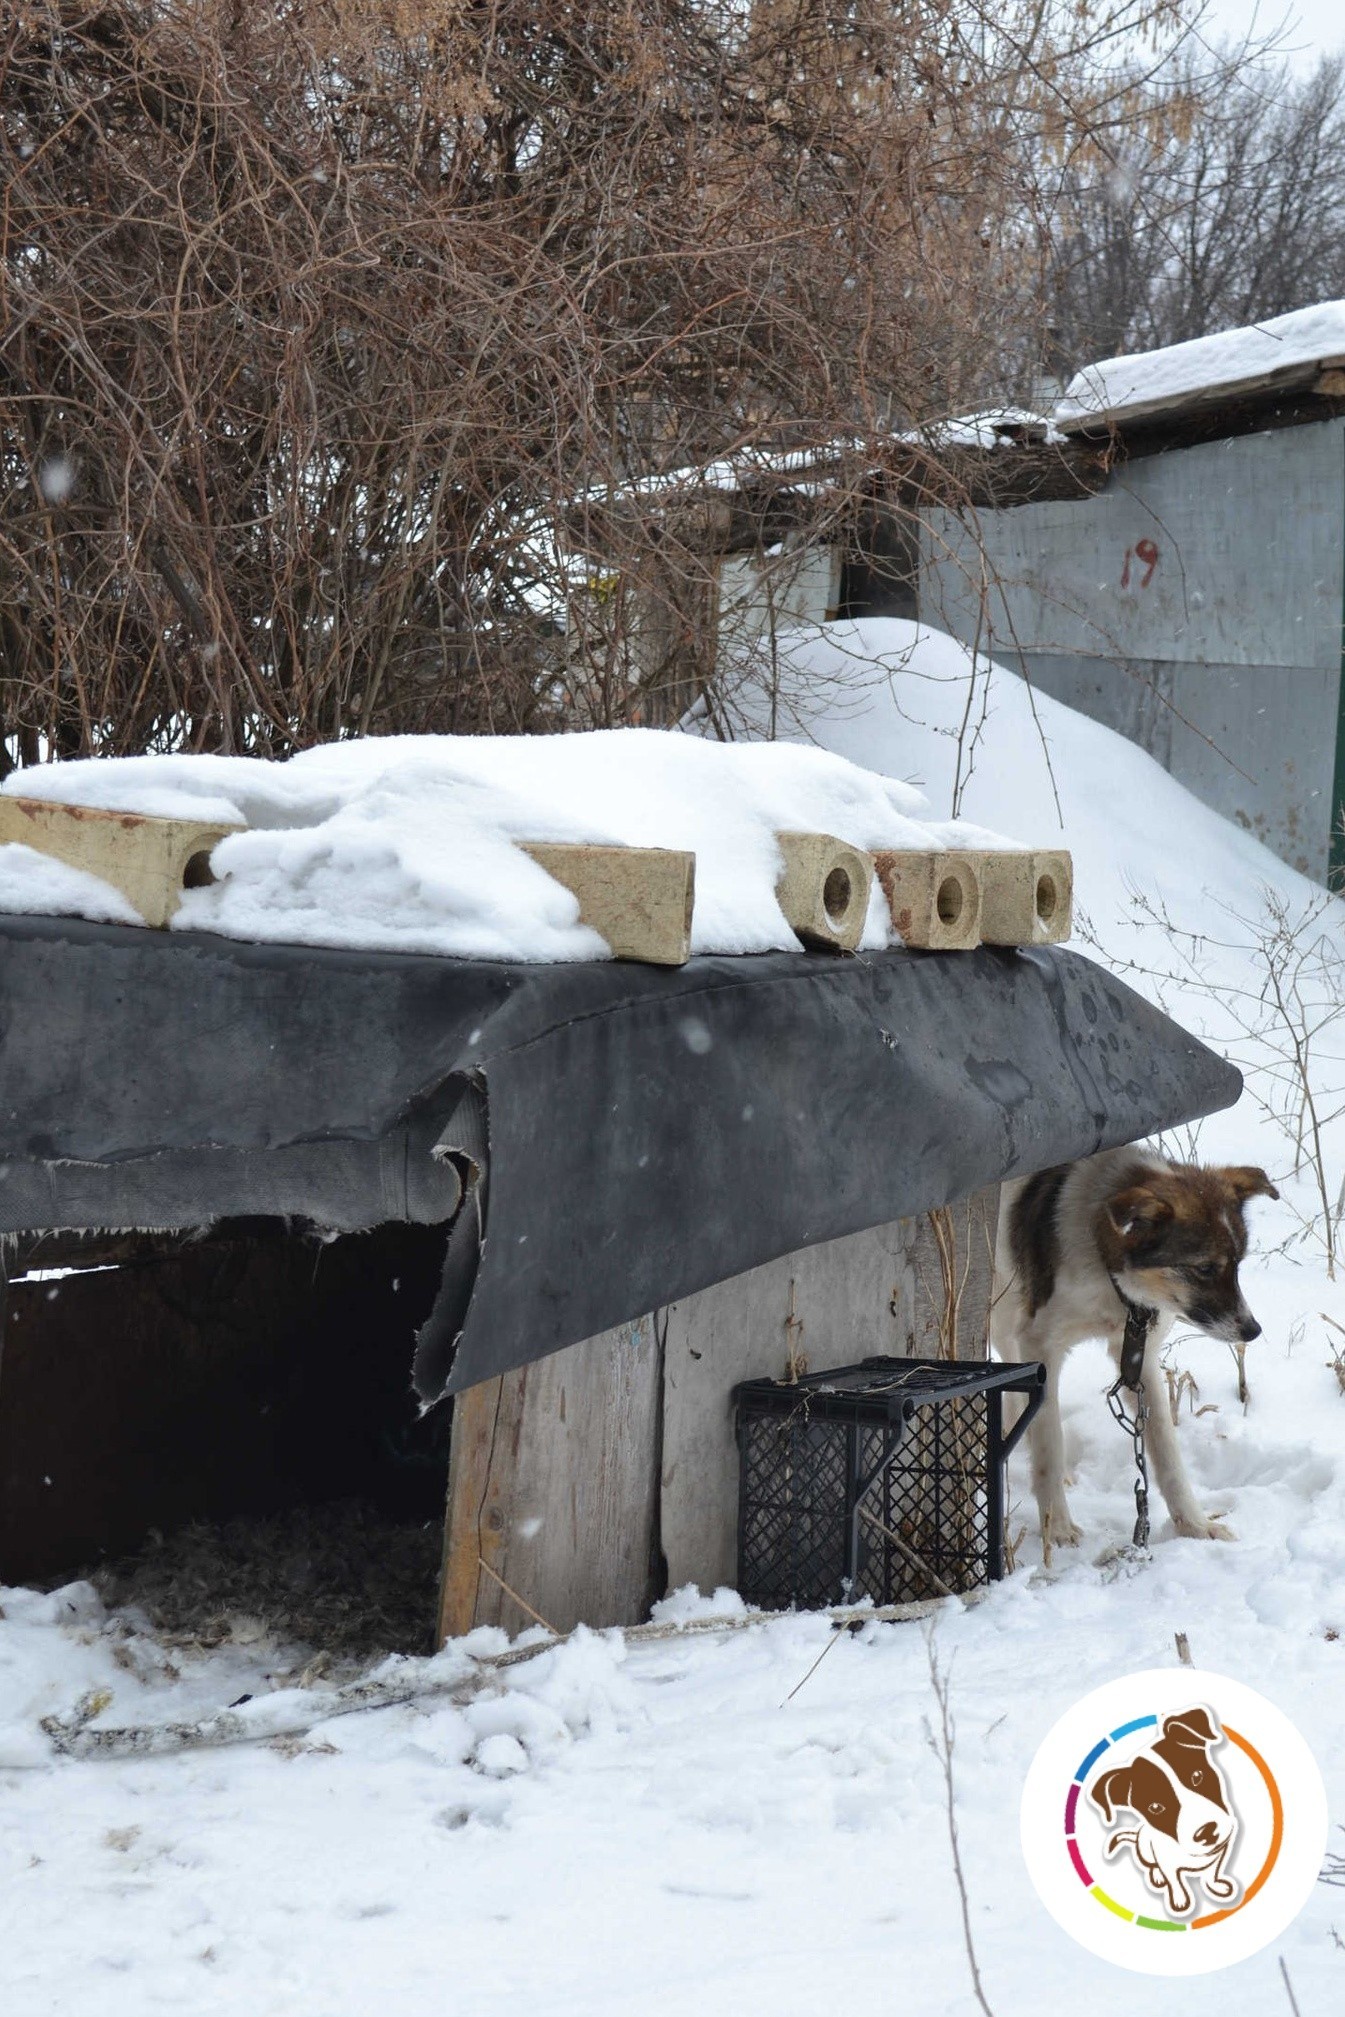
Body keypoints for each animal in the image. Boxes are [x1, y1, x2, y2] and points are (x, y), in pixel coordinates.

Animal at [996, 1153, 1282, 1540]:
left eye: (1237, 1264)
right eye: (1205, 1268)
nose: (1252, 1331)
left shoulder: (1137, 1353)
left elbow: (1167, 1453)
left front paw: (1194, 1524)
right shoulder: (1040, 1344)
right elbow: (1048, 1445)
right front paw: (1057, 1528)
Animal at [1096, 1710, 1242, 1912]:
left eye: (1197, 1775)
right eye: (1155, 1807)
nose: (1207, 1832)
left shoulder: (1221, 1852)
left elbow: (1211, 1873)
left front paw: (1215, 1886)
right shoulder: (1168, 1865)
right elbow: (1175, 1882)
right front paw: (1180, 1900)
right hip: (1145, 1852)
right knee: (1152, 1866)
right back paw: (1157, 1876)